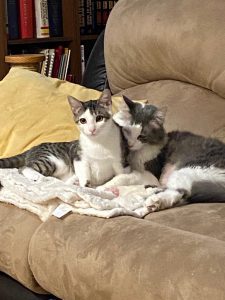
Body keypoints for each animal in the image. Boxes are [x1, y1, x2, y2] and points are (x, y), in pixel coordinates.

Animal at [0, 86, 128, 186]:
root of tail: (32, 148)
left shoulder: (119, 159)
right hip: (52, 160)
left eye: (99, 118)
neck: (98, 142)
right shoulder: (79, 157)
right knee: (23, 168)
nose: (92, 130)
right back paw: (39, 177)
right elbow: (84, 175)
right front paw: (85, 186)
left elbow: (120, 174)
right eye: (83, 120)